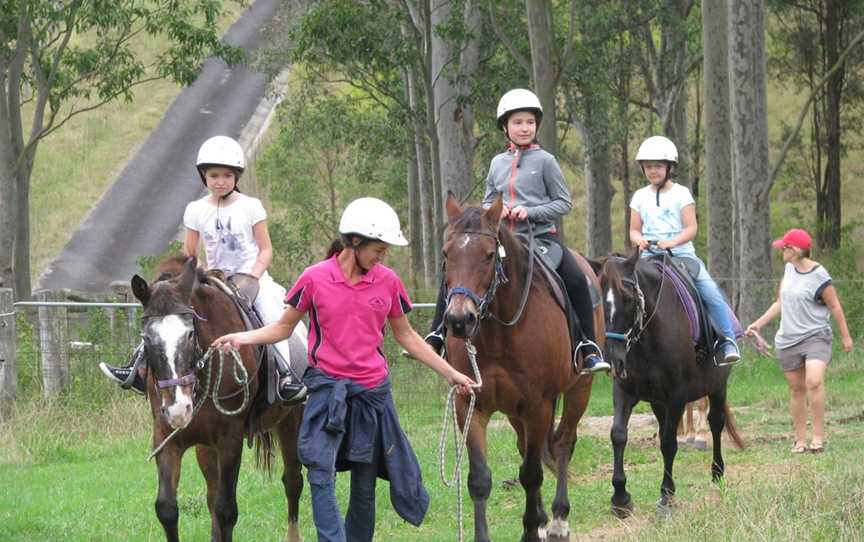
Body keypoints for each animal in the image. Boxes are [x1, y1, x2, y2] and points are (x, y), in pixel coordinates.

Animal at [128, 258, 304, 542]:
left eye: (190, 334)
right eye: (146, 338)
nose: (179, 410)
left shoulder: (230, 440)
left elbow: (226, 511)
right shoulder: (166, 438)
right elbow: (167, 508)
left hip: (291, 421)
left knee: (292, 481)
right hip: (205, 446)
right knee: (212, 495)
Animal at [442, 194, 596, 542]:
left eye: (489, 255)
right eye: (446, 253)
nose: (459, 320)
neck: (500, 334)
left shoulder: (539, 405)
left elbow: (531, 473)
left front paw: (531, 529)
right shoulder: (469, 403)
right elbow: (479, 479)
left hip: (578, 389)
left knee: (563, 443)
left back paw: (558, 518)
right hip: (514, 411)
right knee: (528, 445)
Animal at [600, 251, 744, 520]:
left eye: (628, 299)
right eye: (601, 302)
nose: (614, 359)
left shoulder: (676, 396)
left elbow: (668, 443)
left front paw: (667, 496)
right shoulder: (624, 392)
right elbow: (618, 435)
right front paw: (620, 498)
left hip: (718, 388)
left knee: (716, 424)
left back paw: (717, 474)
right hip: (658, 402)